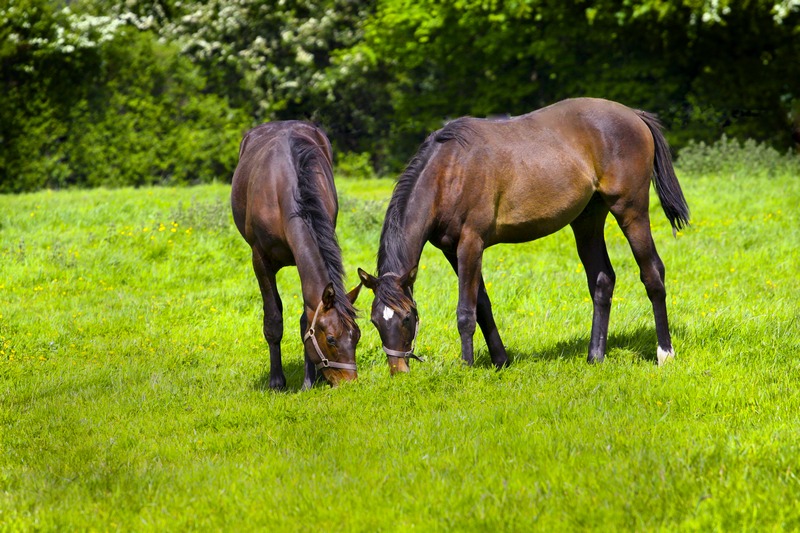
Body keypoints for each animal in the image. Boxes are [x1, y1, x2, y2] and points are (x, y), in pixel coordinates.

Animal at [231, 120, 362, 386]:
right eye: (331, 339)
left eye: (357, 336)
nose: (349, 382)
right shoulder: (260, 260)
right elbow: (273, 319)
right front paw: (276, 381)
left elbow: (305, 320)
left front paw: (309, 382)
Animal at [360, 98, 692, 374]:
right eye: (375, 320)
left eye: (406, 317)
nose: (398, 371)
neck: (449, 171)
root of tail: (634, 115)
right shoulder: (452, 250)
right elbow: (483, 304)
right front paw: (500, 361)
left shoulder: (471, 243)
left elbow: (466, 311)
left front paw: (466, 368)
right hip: (587, 220)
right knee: (602, 280)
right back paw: (595, 356)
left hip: (630, 211)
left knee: (652, 274)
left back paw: (664, 353)